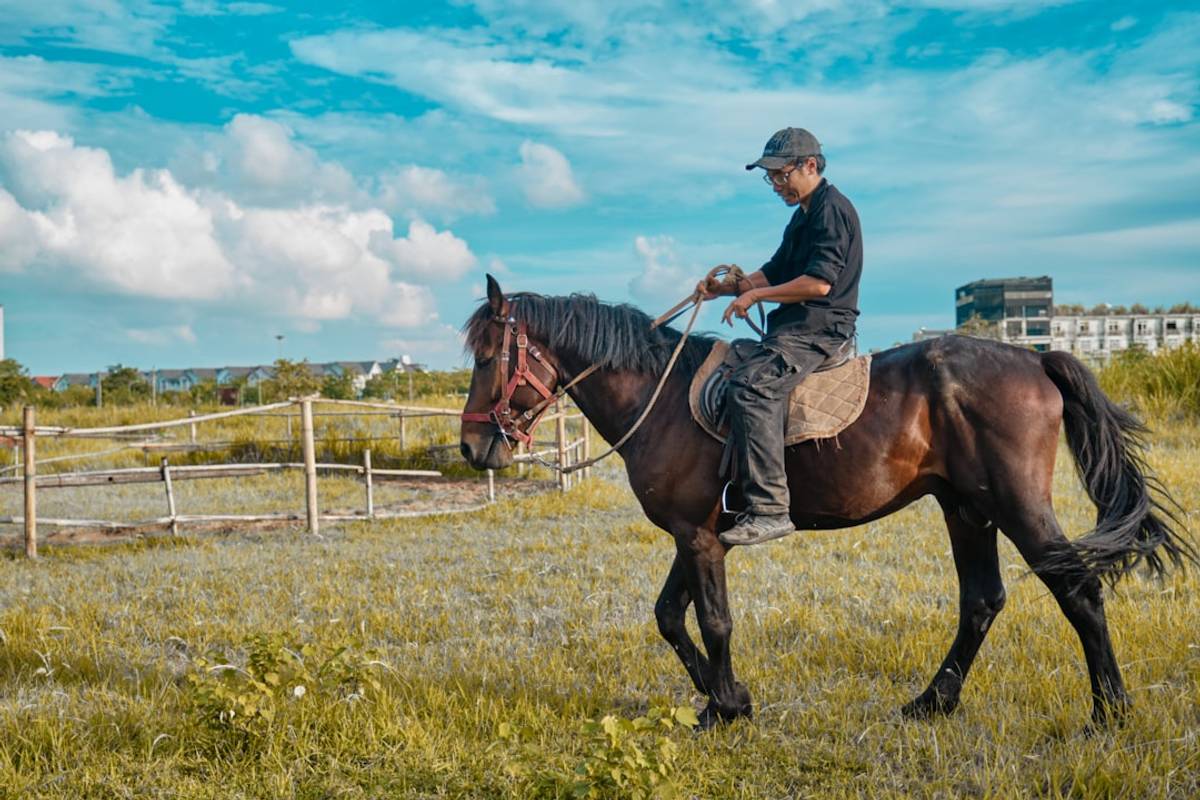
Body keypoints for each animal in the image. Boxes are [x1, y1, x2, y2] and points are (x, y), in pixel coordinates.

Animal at [458, 275, 1193, 730]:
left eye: (489, 355)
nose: (472, 447)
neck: (658, 396)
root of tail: (1035, 357)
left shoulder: (697, 537)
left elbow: (713, 621)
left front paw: (727, 707)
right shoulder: (697, 534)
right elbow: (670, 617)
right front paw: (720, 698)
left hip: (1017, 506)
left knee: (1078, 592)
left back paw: (1109, 712)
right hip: (967, 508)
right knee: (982, 601)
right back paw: (932, 702)